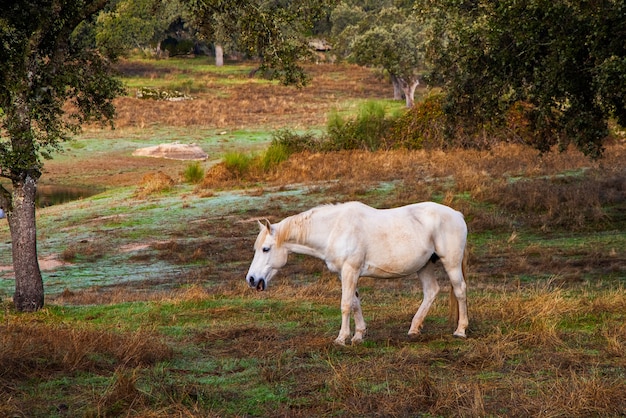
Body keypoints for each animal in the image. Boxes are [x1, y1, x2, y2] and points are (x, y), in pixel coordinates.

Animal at [246, 201, 466, 344]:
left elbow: (345, 304)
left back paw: (461, 330)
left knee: (460, 291)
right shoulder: (345, 273)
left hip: (451, 264)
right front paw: (359, 335)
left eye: (266, 249)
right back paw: (414, 329)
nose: (251, 279)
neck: (334, 229)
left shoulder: (350, 271)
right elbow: (354, 302)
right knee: (431, 291)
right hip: (424, 266)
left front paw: (341, 338)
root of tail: (458, 214)